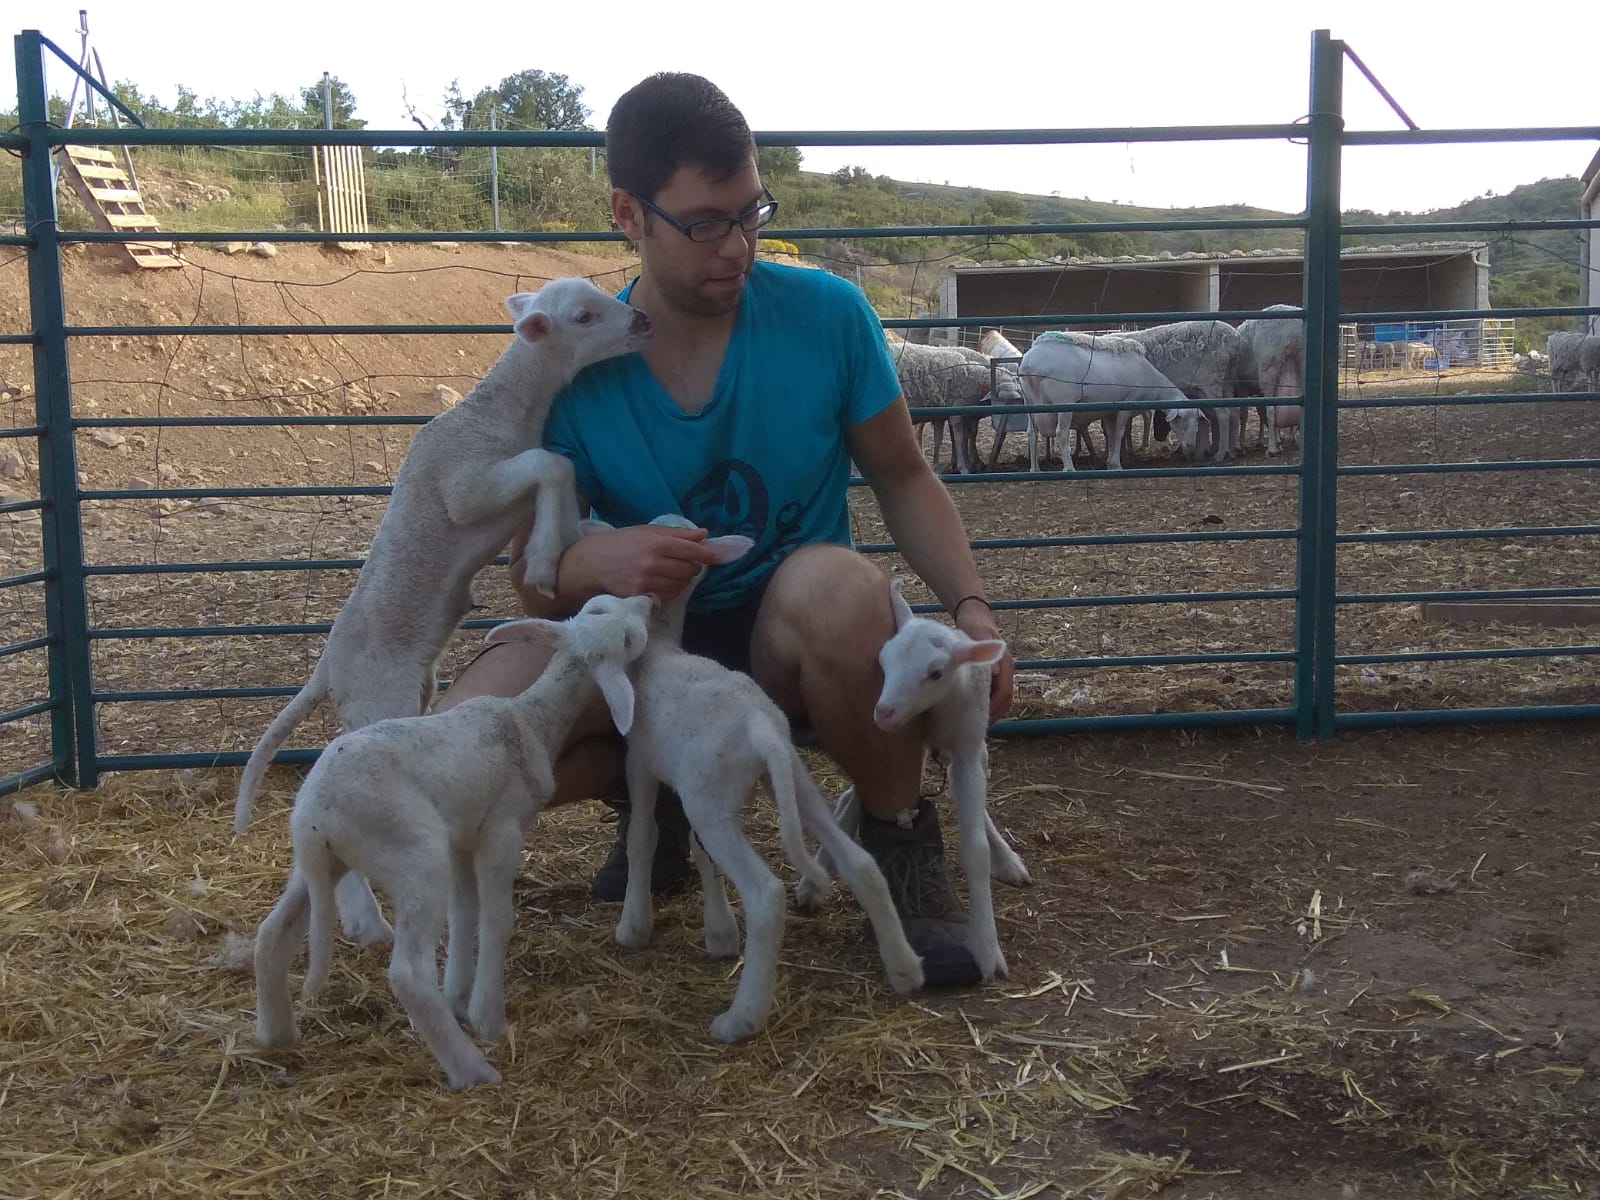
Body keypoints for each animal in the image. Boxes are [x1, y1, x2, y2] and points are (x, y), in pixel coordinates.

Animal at [230, 276, 649, 953]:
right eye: (584, 316)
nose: (642, 321)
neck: (498, 413)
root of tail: (328, 669)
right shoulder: (467, 486)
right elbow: (554, 465)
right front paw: (542, 561)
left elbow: (559, 479)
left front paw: (556, 546)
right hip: (381, 698)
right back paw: (366, 923)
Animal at [249, 592, 649, 1088]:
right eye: (628, 638)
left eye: (599, 608)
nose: (649, 601)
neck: (529, 720)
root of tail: (316, 816)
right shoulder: (502, 829)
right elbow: (497, 920)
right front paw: (487, 1017)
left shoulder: (462, 836)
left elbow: (464, 914)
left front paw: (458, 996)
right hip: (415, 856)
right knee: (408, 973)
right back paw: (472, 1069)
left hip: (323, 865)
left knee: (273, 933)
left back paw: (276, 1033)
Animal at [601, 518, 928, 1043]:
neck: (659, 647)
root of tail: (759, 729)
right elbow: (696, 850)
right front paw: (717, 933)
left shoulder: (641, 763)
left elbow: (642, 836)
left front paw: (634, 925)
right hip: (790, 778)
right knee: (860, 863)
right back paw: (904, 969)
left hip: (712, 799)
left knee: (765, 895)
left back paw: (741, 1017)